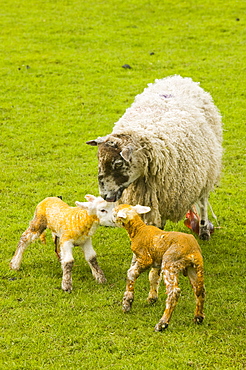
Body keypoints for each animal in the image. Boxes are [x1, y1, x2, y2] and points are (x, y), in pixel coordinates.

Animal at [87, 75, 223, 240]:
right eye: (99, 160)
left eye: (118, 164)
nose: (105, 195)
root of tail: (178, 78)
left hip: (207, 169)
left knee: (203, 201)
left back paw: (203, 229)